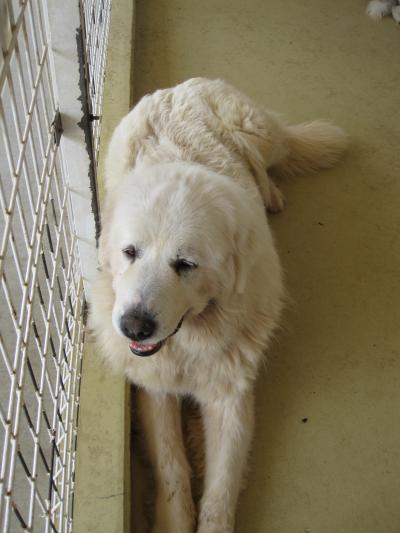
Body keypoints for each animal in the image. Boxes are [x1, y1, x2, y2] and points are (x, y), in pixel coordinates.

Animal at [90, 77, 346, 528]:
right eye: (130, 252)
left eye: (185, 264)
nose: (134, 326)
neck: (192, 338)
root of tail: (183, 86)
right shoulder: (155, 388)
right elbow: (172, 467)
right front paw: (173, 521)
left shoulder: (230, 394)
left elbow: (221, 490)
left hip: (258, 134)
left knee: (268, 160)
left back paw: (271, 193)